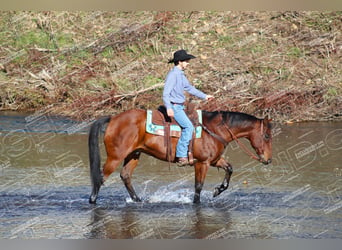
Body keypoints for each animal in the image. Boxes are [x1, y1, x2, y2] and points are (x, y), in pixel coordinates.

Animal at [88, 108, 272, 204]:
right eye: (267, 136)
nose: (268, 159)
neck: (214, 130)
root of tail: (113, 118)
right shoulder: (202, 163)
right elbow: (198, 186)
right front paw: (197, 203)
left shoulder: (214, 160)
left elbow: (230, 168)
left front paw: (218, 191)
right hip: (115, 157)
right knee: (100, 178)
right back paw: (93, 201)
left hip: (134, 154)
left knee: (125, 175)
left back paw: (138, 200)